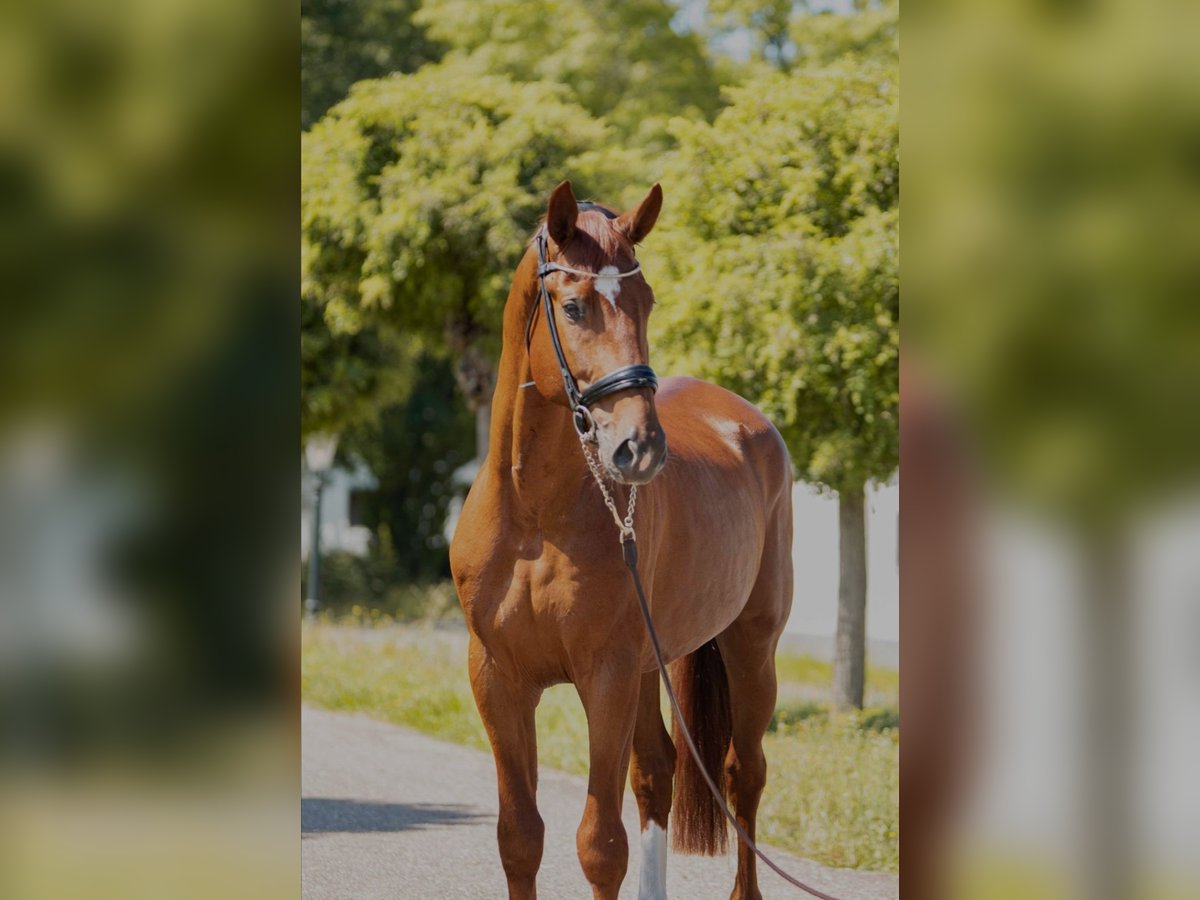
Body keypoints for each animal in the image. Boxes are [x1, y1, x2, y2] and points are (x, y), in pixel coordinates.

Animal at [448, 180, 787, 897]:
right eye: (573, 305)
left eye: (647, 300)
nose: (640, 447)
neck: (535, 516)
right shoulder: (497, 679)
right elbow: (519, 838)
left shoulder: (604, 676)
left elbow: (599, 844)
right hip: (650, 665)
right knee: (659, 770)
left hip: (751, 649)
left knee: (743, 774)